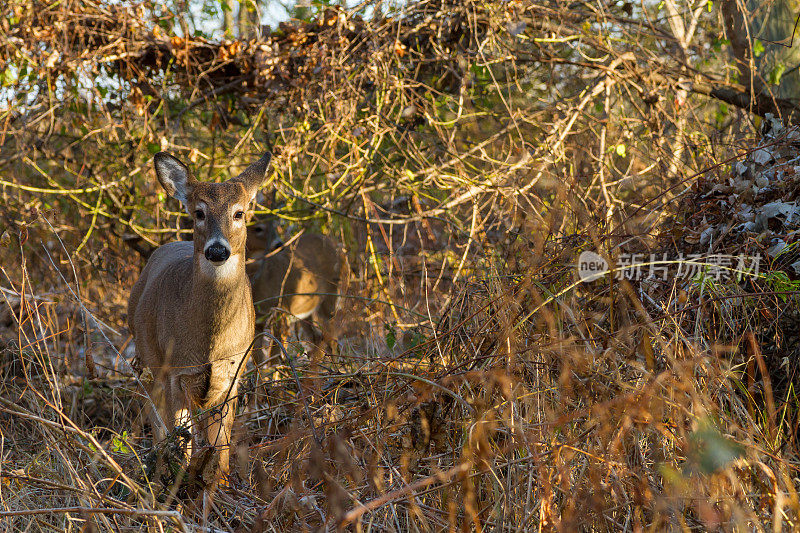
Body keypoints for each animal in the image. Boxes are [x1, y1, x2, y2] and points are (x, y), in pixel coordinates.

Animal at [128, 150, 272, 486]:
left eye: (239, 213)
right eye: (198, 213)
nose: (217, 250)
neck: (208, 343)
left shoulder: (233, 373)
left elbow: (220, 450)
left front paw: (219, 485)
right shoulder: (175, 371)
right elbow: (181, 443)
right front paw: (177, 483)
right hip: (148, 362)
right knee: (155, 420)